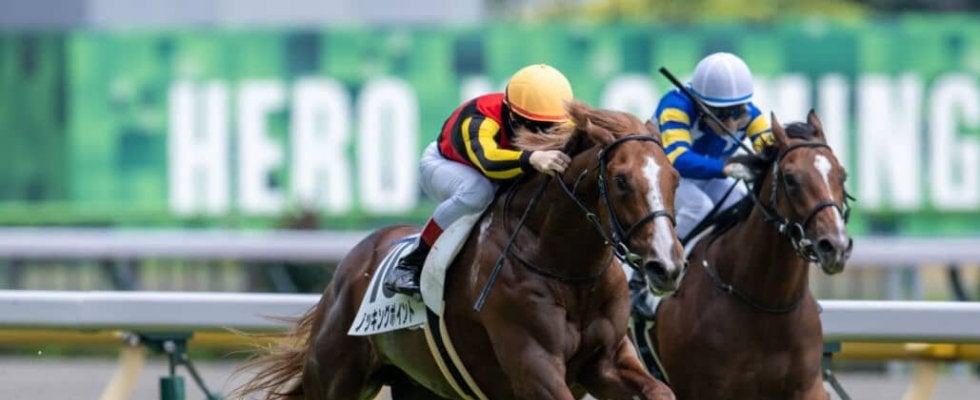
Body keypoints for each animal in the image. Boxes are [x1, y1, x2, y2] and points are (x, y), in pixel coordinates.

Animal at [234, 101, 687, 400]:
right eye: (622, 180)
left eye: (675, 177)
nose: (666, 265)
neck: (566, 269)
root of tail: (349, 266)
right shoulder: (533, 364)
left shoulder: (607, 360)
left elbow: (662, 391)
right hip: (335, 377)